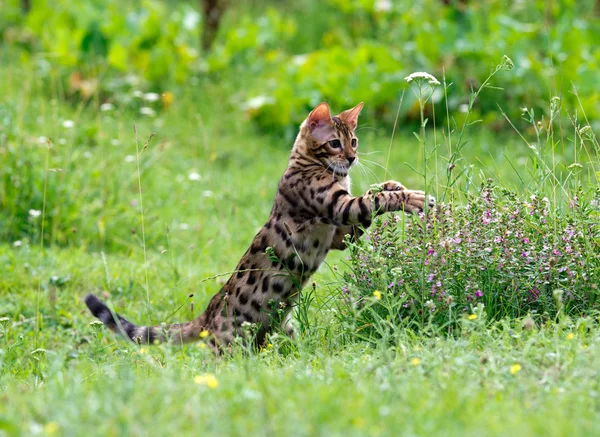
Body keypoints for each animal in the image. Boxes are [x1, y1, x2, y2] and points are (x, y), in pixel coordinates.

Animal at [85, 100, 432, 350]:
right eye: (335, 143)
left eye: (354, 141)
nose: (351, 158)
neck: (311, 165)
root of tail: (205, 316)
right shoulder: (338, 207)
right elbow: (374, 200)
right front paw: (413, 197)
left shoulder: (340, 235)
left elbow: (374, 197)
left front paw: (394, 184)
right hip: (229, 345)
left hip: (280, 330)